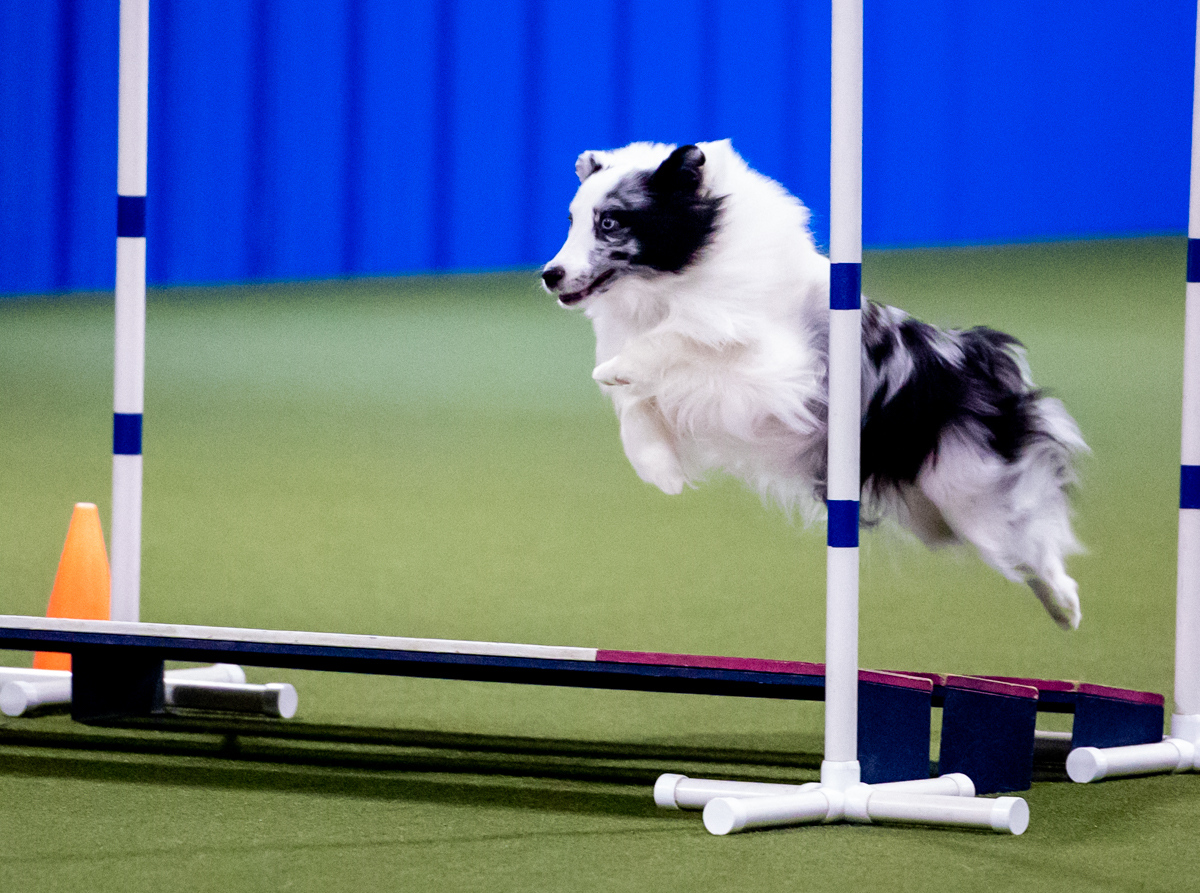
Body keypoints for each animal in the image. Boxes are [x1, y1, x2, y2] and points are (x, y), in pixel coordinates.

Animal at [541, 140, 1088, 629]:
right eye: (570, 220)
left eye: (610, 223)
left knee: (1029, 542)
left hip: (968, 489)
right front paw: (658, 466)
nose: (550, 274)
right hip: (935, 514)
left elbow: (684, 338)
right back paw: (1061, 611)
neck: (675, 280)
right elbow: (639, 404)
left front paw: (623, 371)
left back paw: (1066, 605)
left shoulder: (773, 365)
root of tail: (982, 356)